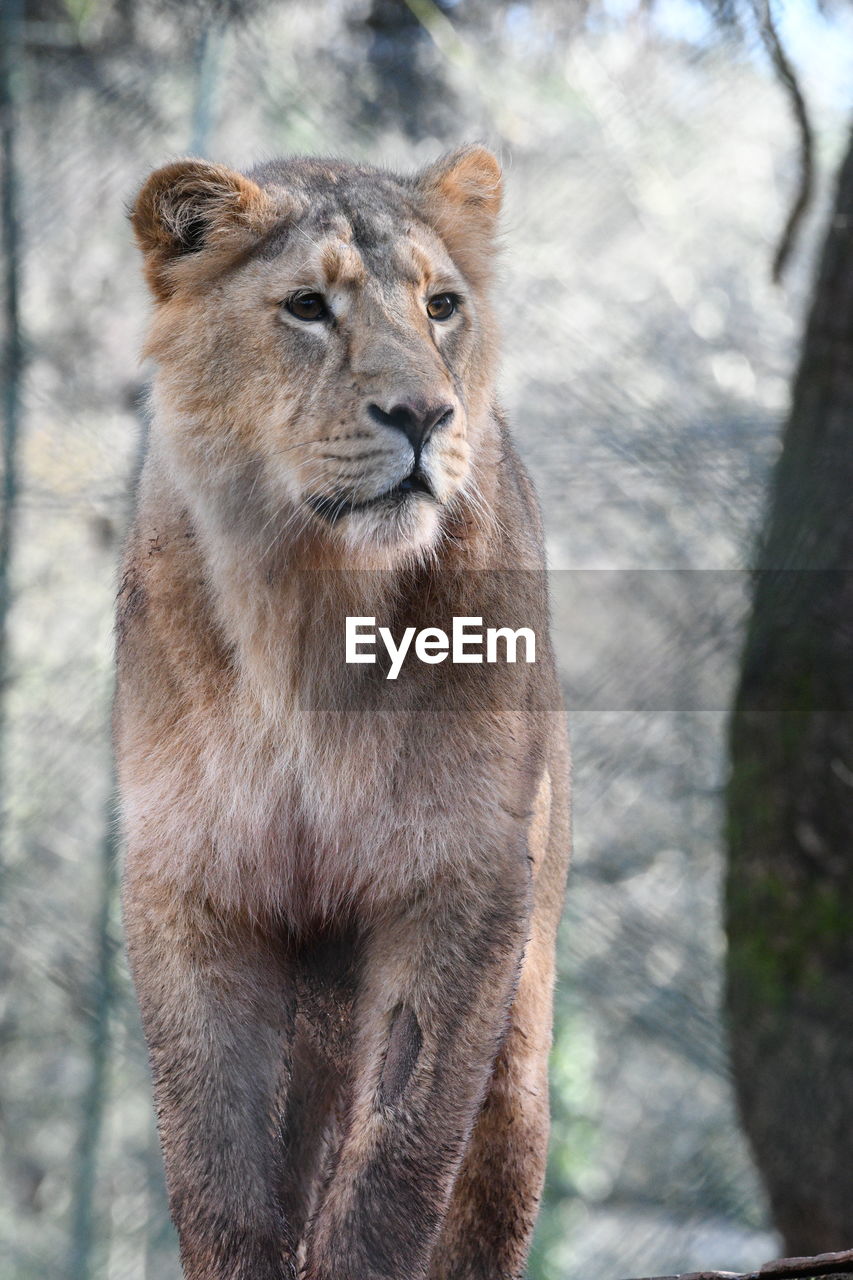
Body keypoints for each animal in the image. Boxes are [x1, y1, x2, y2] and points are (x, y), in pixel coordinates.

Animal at [116, 146, 570, 1280]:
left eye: (441, 305)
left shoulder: (459, 872)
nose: (423, 417)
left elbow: (397, 1159)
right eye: (309, 308)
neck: (313, 609)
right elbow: (216, 1169)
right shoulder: (192, 879)